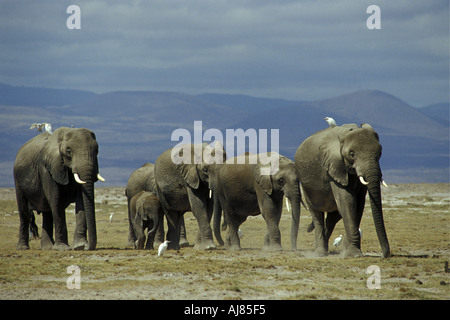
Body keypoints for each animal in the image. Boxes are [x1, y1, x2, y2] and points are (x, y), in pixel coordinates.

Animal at [296, 122, 390, 258]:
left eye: (380, 152)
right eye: (352, 154)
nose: (385, 255)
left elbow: (359, 204)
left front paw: (349, 251)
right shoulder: (333, 167)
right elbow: (348, 200)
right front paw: (354, 254)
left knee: (332, 218)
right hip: (306, 186)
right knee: (317, 214)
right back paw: (320, 253)